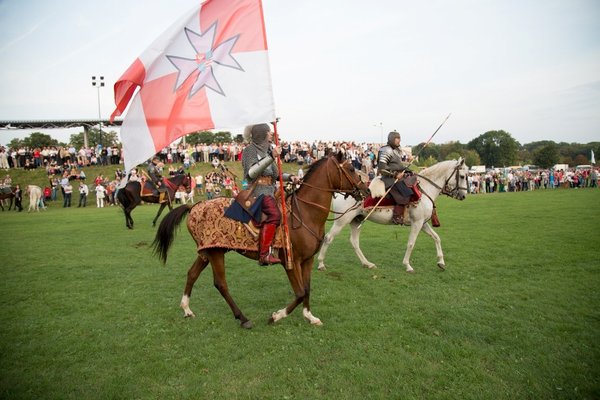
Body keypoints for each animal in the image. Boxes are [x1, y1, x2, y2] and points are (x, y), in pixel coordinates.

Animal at [152, 152, 368, 330]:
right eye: (351, 169)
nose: (365, 191)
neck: (305, 213)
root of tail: (195, 206)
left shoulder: (308, 260)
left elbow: (306, 290)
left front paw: (309, 316)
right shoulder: (290, 262)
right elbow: (299, 293)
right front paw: (276, 316)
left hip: (207, 252)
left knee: (192, 274)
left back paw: (187, 309)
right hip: (215, 253)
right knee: (220, 284)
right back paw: (243, 318)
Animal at [316, 158, 472, 274]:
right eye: (462, 176)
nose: (464, 195)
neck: (425, 189)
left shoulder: (423, 223)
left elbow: (436, 238)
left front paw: (441, 262)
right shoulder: (417, 223)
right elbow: (411, 243)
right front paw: (407, 265)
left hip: (356, 220)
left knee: (354, 242)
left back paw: (367, 263)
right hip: (342, 220)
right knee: (328, 238)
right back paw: (321, 263)